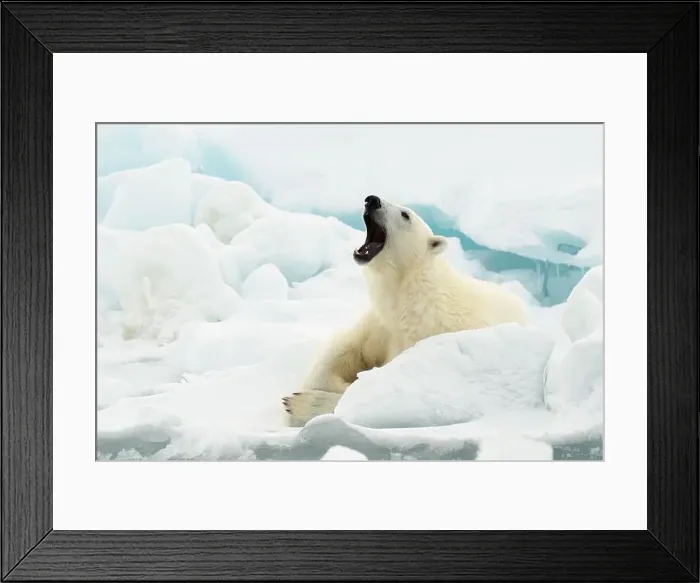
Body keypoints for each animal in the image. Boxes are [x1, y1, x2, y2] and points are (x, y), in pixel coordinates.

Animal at [282, 195, 527, 426]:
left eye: (405, 215)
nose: (372, 200)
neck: (409, 297)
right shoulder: (380, 324)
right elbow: (342, 351)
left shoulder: (427, 343)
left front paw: (301, 403)